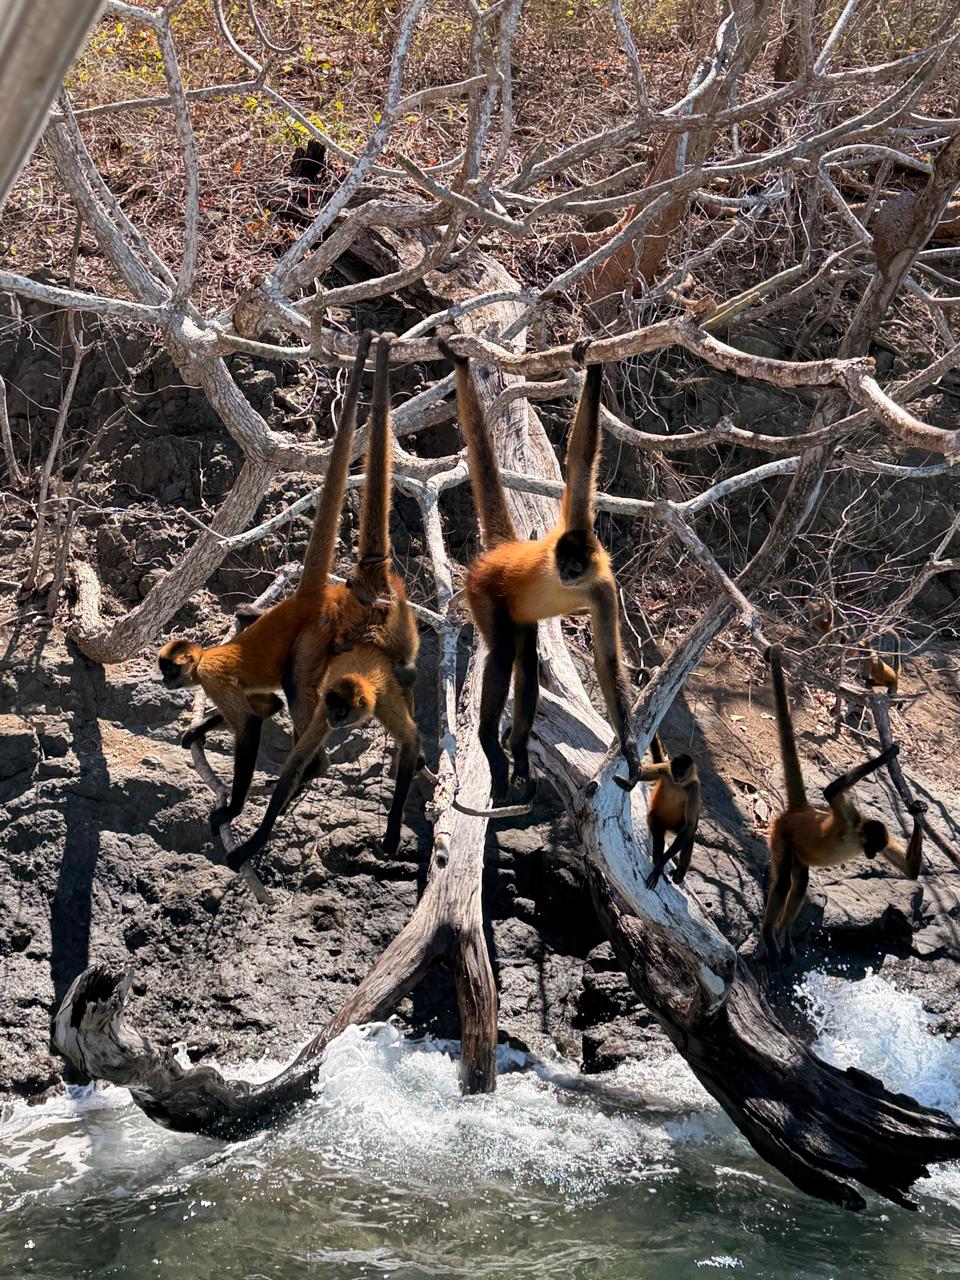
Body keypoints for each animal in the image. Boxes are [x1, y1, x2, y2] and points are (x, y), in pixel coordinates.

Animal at [158, 329, 375, 836]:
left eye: (169, 669)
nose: (163, 681)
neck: (206, 656)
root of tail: (304, 599)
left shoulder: (213, 677)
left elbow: (253, 725)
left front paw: (233, 809)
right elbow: (266, 709)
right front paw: (197, 730)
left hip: (313, 638)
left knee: (297, 686)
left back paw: (311, 771)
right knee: (248, 620)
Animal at [226, 332, 422, 870]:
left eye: (343, 712)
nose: (335, 719)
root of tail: (368, 579)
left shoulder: (377, 699)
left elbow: (409, 740)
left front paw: (393, 832)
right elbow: (294, 764)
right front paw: (257, 836)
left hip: (382, 620)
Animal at [437, 336, 640, 804]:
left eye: (574, 565)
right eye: (561, 562)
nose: (563, 573)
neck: (578, 584)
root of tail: (504, 550)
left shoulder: (604, 588)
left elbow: (607, 659)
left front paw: (631, 751)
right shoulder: (574, 528)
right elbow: (580, 461)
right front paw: (592, 370)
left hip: (517, 610)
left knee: (527, 659)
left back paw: (517, 752)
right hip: (483, 589)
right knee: (503, 653)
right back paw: (490, 742)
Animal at [760, 644, 922, 964]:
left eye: (874, 849)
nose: (871, 855)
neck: (858, 835)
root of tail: (801, 811)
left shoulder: (882, 837)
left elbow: (910, 870)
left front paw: (917, 811)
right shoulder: (849, 817)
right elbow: (831, 789)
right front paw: (886, 757)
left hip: (797, 850)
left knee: (800, 883)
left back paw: (783, 934)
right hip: (781, 836)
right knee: (784, 881)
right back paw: (770, 934)